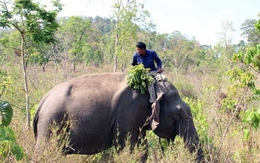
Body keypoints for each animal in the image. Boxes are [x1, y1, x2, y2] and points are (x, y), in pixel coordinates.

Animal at [33, 72, 203, 162]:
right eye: (178, 114)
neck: (152, 85)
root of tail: (42, 101)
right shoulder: (127, 111)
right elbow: (126, 145)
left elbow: (142, 147)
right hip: (50, 123)